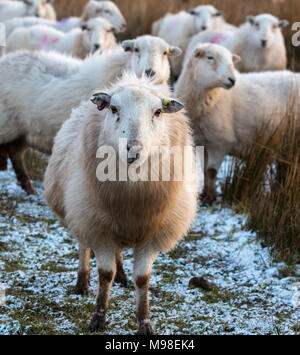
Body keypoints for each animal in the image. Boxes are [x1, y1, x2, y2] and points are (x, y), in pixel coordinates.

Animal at [44, 73, 199, 336]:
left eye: (158, 112)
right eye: (114, 109)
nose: (134, 150)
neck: (131, 197)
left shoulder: (151, 236)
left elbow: (142, 279)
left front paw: (145, 322)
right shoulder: (99, 229)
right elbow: (105, 274)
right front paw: (98, 318)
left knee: (118, 254)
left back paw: (122, 276)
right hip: (83, 212)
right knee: (84, 245)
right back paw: (82, 282)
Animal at [176, 43, 300, 204]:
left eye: (231, 60)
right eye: (210, 57)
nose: (232, 80)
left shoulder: (220, 143)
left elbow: (211, 171)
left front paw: (211, 197)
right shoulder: (202, 143)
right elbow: (204, 170)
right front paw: (205, 194)